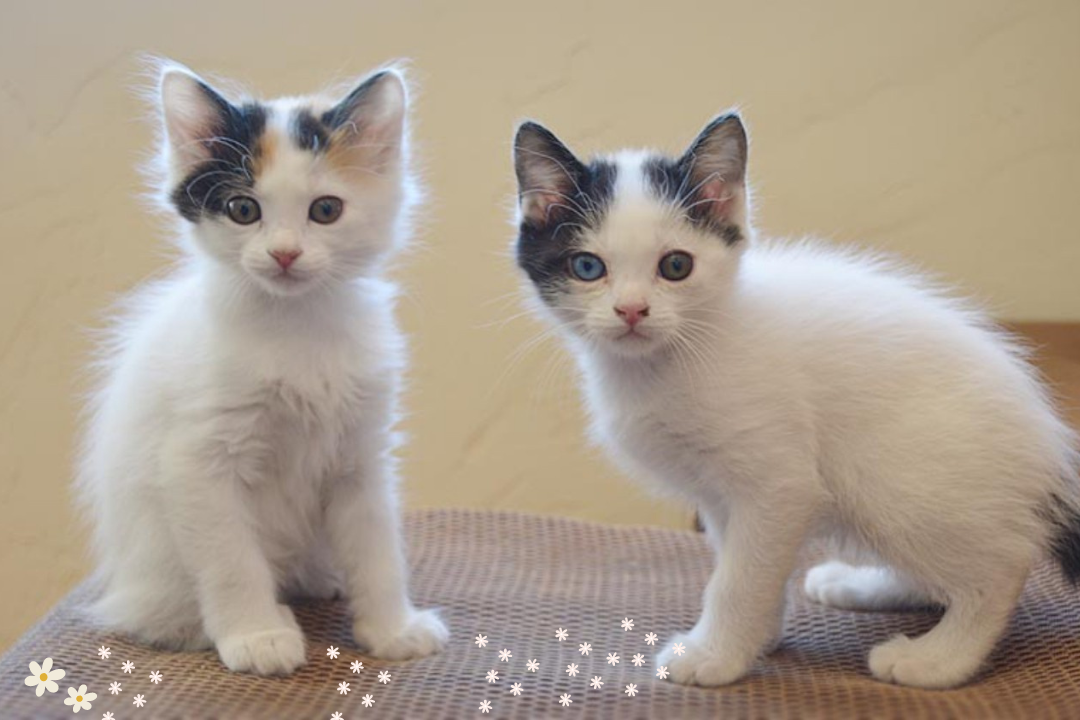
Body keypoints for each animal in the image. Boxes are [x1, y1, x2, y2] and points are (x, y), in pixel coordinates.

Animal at [77, 62, 447, 677]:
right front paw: (256, 635)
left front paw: (391, 629)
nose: (284, 254)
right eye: (243, 210)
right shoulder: (198, 461)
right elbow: (232, 560)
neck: (297, 327)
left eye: (326, 210)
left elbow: (377, 550)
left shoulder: (361, 456)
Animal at [511, 115, 1080, 690]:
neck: (669, 361)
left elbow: (740, 576)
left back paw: (938, 659)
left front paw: (715, 655)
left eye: (675, 265)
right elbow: (745, 562)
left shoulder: (779, 485)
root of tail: (1049, 446)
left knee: (1001, 565)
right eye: (587, 267)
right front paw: (755, 639)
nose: (631, 310)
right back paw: (861, 584)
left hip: (898, 475)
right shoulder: (719, 495)